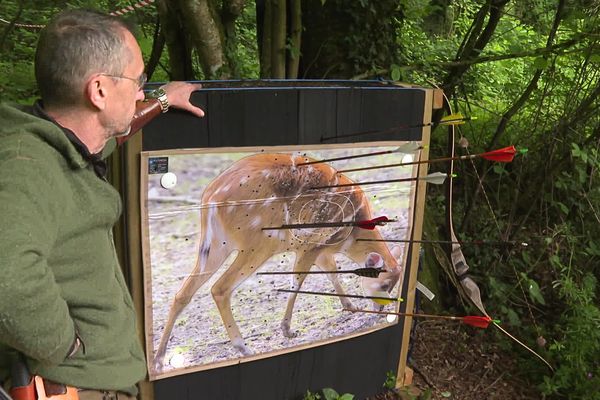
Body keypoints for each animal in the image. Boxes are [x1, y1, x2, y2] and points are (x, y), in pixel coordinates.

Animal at [154, 152, 404, 368]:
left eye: (392, 285)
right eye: (383, 284)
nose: (381, 310)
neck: (351, 235)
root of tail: (210, 199)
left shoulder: (321, 250)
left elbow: (331, 272)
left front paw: (350, 306)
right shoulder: (312, 245)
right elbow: (298, 281)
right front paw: (287, 330)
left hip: (214, 245)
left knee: (183, 293)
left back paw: (159, 359)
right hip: (260, 243)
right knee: (220, 288)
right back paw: (243, 347)